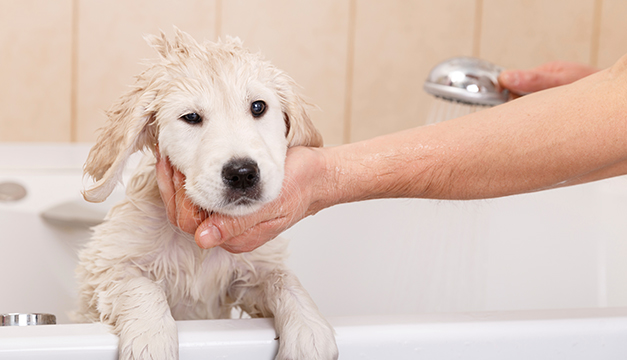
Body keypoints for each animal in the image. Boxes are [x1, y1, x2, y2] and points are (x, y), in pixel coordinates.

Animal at [72, 28, 338, 360]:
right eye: (191, 117)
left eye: (258, 107)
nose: (242, 173)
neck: (197, 246)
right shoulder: (107, 267)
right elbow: (143, 287)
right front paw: (152, 340)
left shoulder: (249, 273)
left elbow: (283, 278)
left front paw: (310, 331)